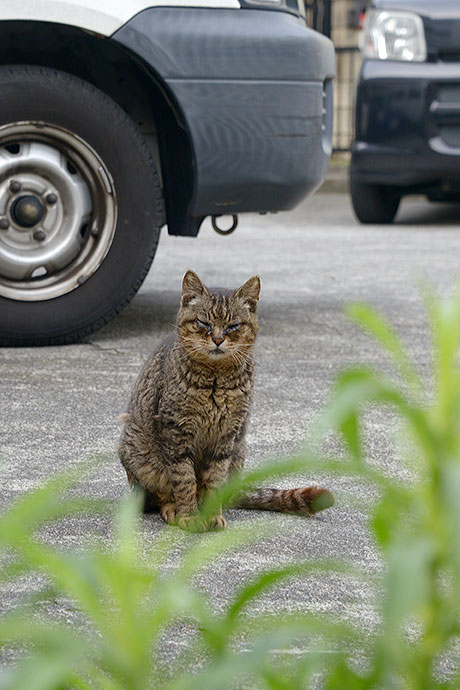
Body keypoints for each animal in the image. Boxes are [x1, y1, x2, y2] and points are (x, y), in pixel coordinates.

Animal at [118, 270, 334, 532]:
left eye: (233, 326)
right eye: (204, 323)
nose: (218, 339)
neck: (215, 380)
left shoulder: (226, 436)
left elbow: (214, 481)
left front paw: (211, 514)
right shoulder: (176, 430)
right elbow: (184, 479)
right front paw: (189, 516)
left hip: (239, 451)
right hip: (136, 451)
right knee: (159, 495)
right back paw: (172, 510)